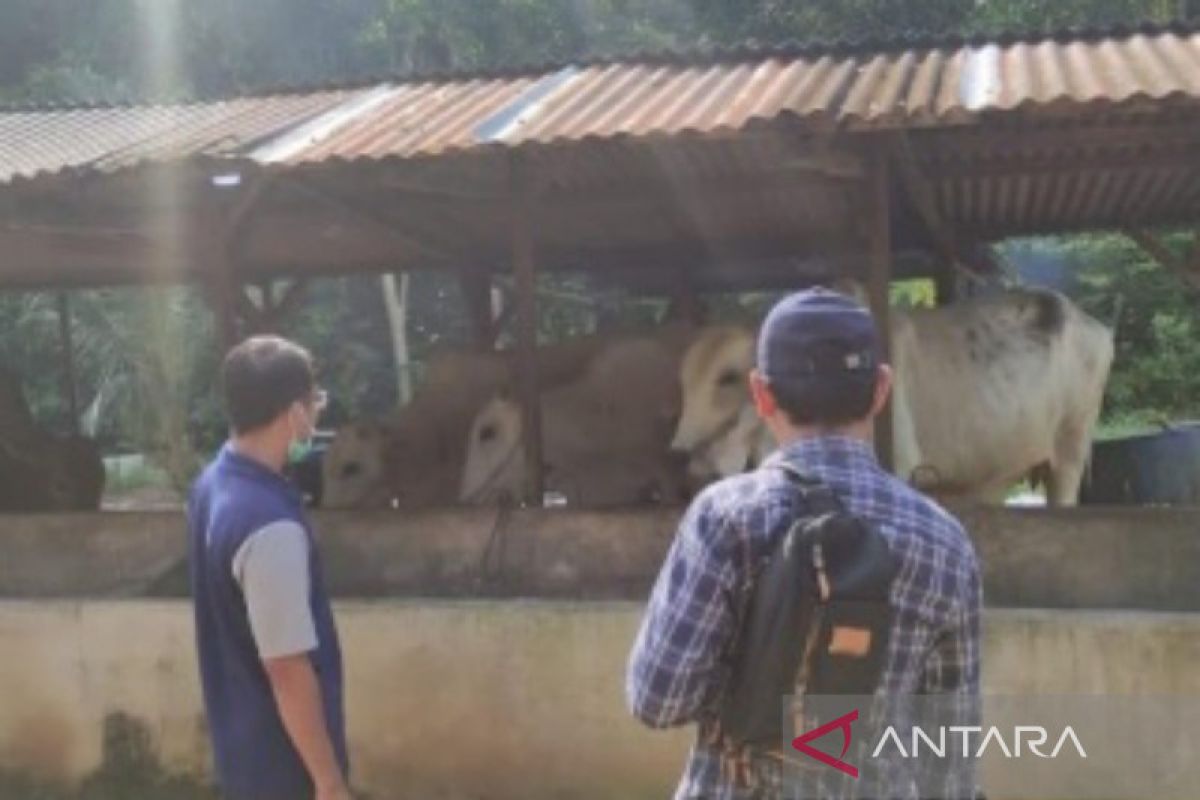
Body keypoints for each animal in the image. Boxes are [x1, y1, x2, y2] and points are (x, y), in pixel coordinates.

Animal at [676, 289, 1113, 506]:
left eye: (727, 377)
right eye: (684, 381)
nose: (679, 452)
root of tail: (1098, 327)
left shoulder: (900, 462)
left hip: (1072, 447)